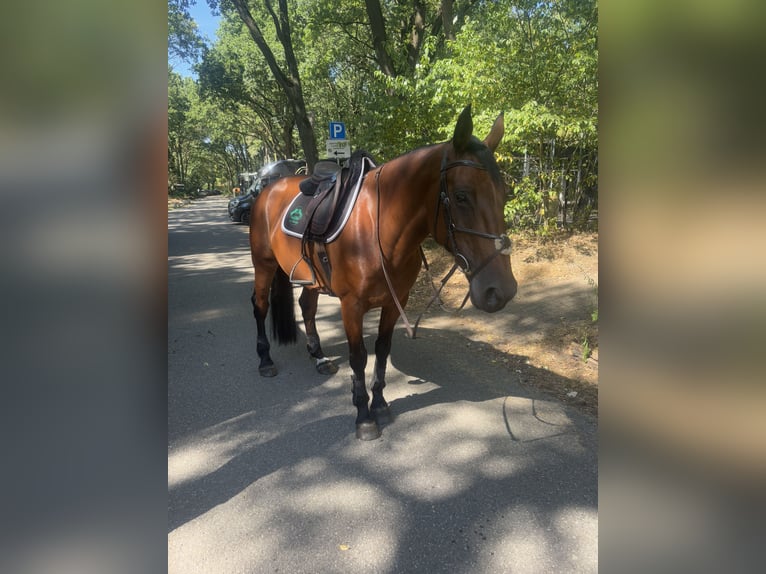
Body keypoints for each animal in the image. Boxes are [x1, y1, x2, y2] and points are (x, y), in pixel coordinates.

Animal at [249, 105, 518, 440]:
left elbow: (381, 350)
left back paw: (320, 358)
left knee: (307, 308)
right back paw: (265, 360)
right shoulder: (351, 306)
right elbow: (358, 357)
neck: (379, 229)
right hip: (264, 265)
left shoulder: (394, 302)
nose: (500, 291)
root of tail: (267, 189)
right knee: (260, 306)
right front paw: (363, 415)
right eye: (461, 196)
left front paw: (378, 404)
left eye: (504, 194)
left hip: (310, 279)